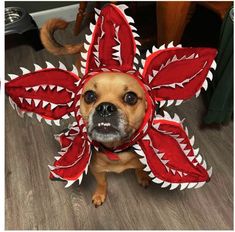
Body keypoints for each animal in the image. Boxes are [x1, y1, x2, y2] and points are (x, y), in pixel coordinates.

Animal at [80, 72, 151, 207]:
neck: (117, 149)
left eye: (130, 97)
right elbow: (102, 183)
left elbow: (140, 167)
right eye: (89, 96)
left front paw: (143, 176)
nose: (105, 108)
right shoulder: (96, 170)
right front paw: (100, 194)